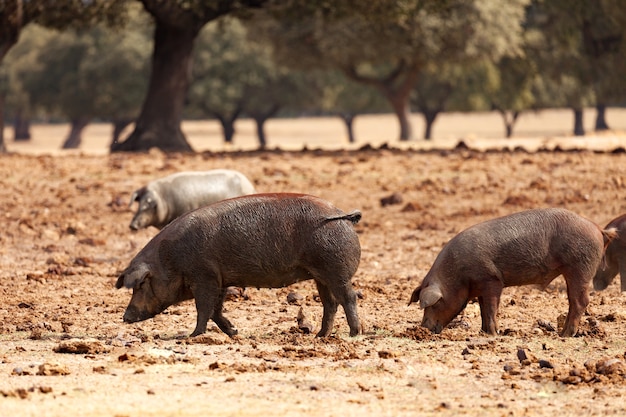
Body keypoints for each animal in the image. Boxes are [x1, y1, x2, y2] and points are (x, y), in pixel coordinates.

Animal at [115, 193, 364, 336]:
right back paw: (320, 336)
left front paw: (194, 335)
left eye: (140, 285)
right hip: (321, 275)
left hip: (335, 270)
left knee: (348, 297)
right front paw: (234, 332)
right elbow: (216, 309)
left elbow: (203, 308)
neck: (171, 259)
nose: (125, 317)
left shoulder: (204, 276)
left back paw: (355, 333)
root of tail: (343, 215)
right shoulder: (220, 280)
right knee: (330, 303)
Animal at [404, 206, 616, 336]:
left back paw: (565, 335)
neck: (457, 275)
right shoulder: (481, 286)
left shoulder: (492, 279)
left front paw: (492, 334)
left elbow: (491, 308)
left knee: (580, 301)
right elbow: (483, 309)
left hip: (580, 267)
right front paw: (483, 332)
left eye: (434, 304)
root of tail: (598, 229)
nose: (423, 328)